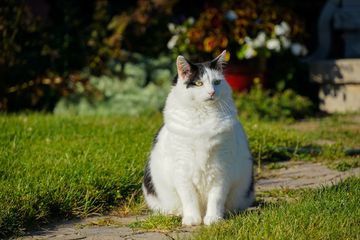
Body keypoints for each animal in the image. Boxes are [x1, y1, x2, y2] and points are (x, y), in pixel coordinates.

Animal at [142, 50, 255, 225]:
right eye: (199, 83)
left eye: (216, 82)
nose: (212, 92)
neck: (204, 115)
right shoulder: (182, 170)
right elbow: (189, 198)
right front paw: (192, 219)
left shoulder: (221, 169)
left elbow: (216, 198)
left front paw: (213, 219)